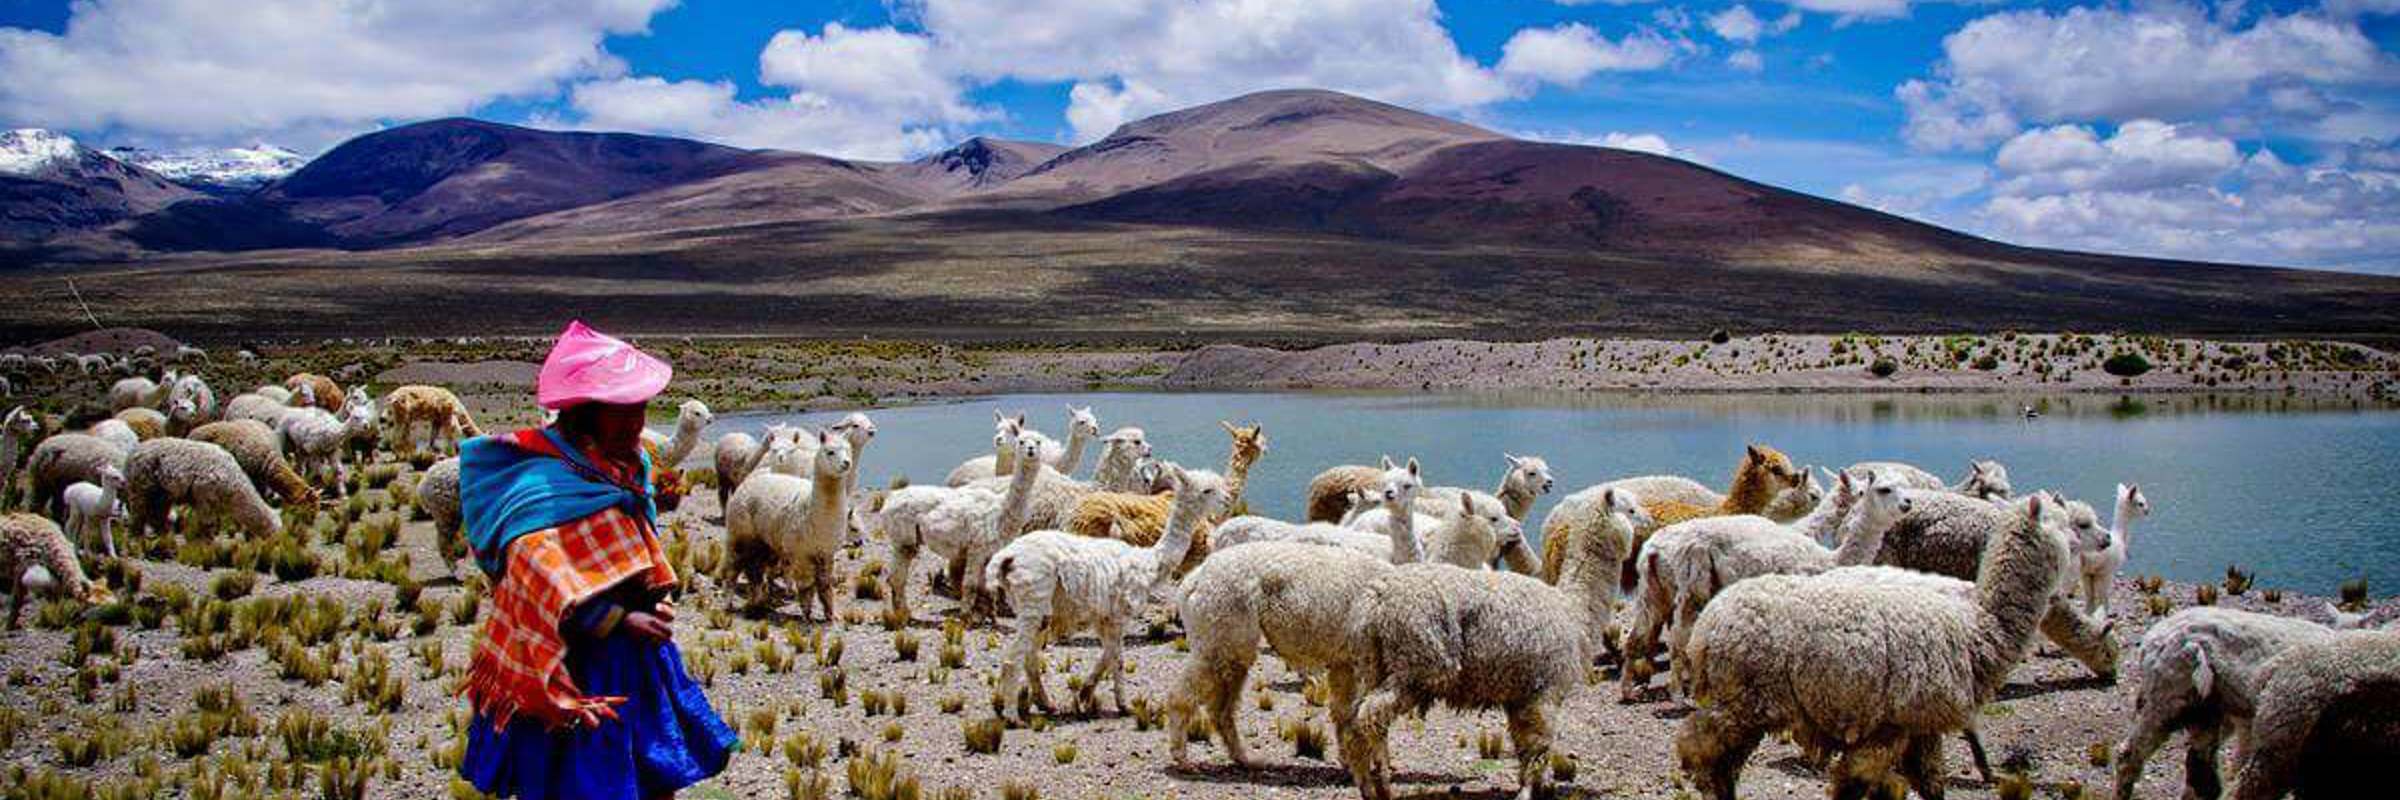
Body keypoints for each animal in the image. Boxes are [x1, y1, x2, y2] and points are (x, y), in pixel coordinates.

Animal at [125, 438, 283, 540]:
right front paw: (207, 543)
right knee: (139, 511)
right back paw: (137, 536)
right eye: (276, 532)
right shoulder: (204, 495)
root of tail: (134, 452)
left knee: (157, 514)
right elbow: (207, 524)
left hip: (161, 492)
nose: (278, 545)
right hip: (142, 485)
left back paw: (163, 536)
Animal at [722, 429, 854, 620]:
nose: (846, 463)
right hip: (738, 532)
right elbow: (807, 585)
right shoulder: (801, 552)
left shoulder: (826, 552)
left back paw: (757, 603)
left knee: (755, 571)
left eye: (848, 450)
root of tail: (749, 480)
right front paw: (807, 614)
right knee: (734, 568)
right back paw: (729, 604)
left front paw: (831, 615)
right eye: (830, 451)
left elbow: (825, 585)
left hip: (764, 541)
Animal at [987, 463, 1229, 720]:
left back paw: (1043, 704)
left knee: (1029, 658)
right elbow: (1117, 659)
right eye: (1206, 490)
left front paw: (1085, 694)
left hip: (1037, 609)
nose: (1226, 500)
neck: (1149, 562)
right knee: (1013, 659)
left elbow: (1107, 656)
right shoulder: (1118, 615)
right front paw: (1124, 705)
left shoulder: (1103, 617)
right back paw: (1012, 715)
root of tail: (1007, 557)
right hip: (1032, 599)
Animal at [1674, 495, 2069, 800]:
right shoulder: (1891, 724)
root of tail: (1709, 622)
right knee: (1702, 749)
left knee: (1719, 756)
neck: (1978, 628)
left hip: (1748, 700)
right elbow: (1857, 783)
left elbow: (1930, 786)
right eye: (2064, 523)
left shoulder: (1918, 726)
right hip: (1748, 697)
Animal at [2077, 483, 2151, 615]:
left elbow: (2090, 602)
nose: (2147, 511)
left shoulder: (2089, 574)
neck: (2119, 538)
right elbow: (2104, 602)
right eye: (2141, 503)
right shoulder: (2106, 573)